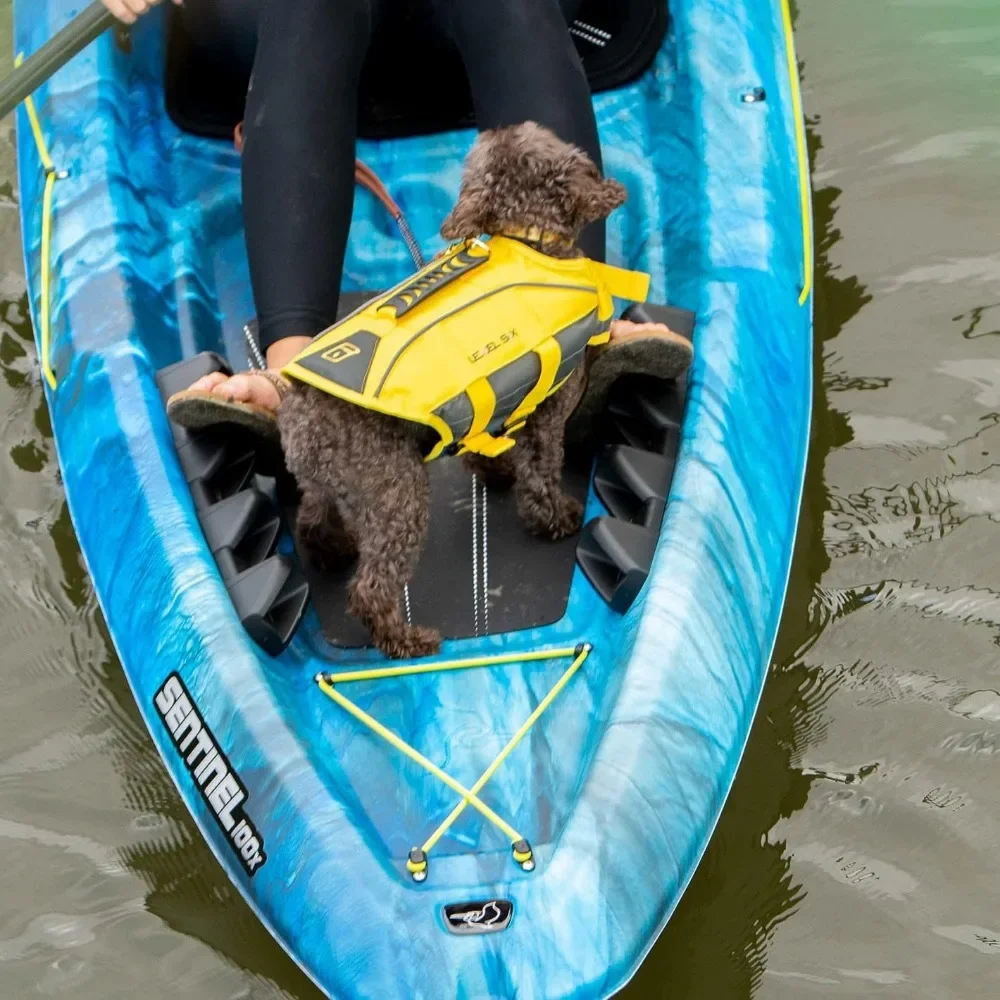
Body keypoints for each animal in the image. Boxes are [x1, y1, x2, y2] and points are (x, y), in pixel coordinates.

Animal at [278, 123, 628, 656]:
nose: (496, 126)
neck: (529, 239)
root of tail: (300, 409)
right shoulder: (547, 415)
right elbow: (543, 475)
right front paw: (556, 520)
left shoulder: (497, 411)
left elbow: (488, 451)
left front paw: (496, 474)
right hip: (398, 494)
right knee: (372, 589)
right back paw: (407, 640)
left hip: (334, 484)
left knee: (313, 520)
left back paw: (334, 551)